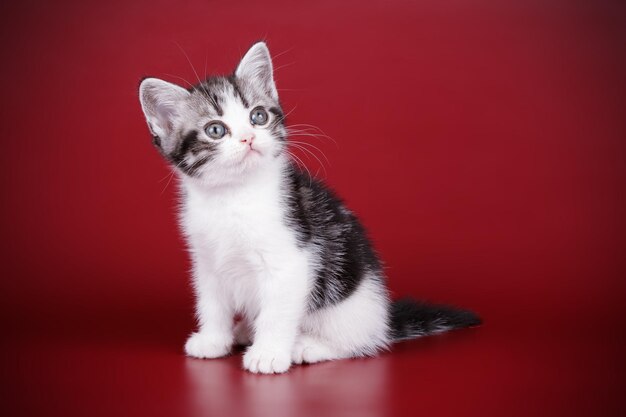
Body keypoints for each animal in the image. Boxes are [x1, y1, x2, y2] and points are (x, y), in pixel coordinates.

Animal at [136, 42, 478, 374]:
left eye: (258, 116)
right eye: (216, 130)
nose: (248, 138)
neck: (234, 195)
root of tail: (384, 318)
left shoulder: (292, 261)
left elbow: (277, 311)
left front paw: (268, 354)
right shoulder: (206, 261)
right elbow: (212, 302)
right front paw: (212, 340)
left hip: (351, 309)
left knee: (360, 341)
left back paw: (309, 346)